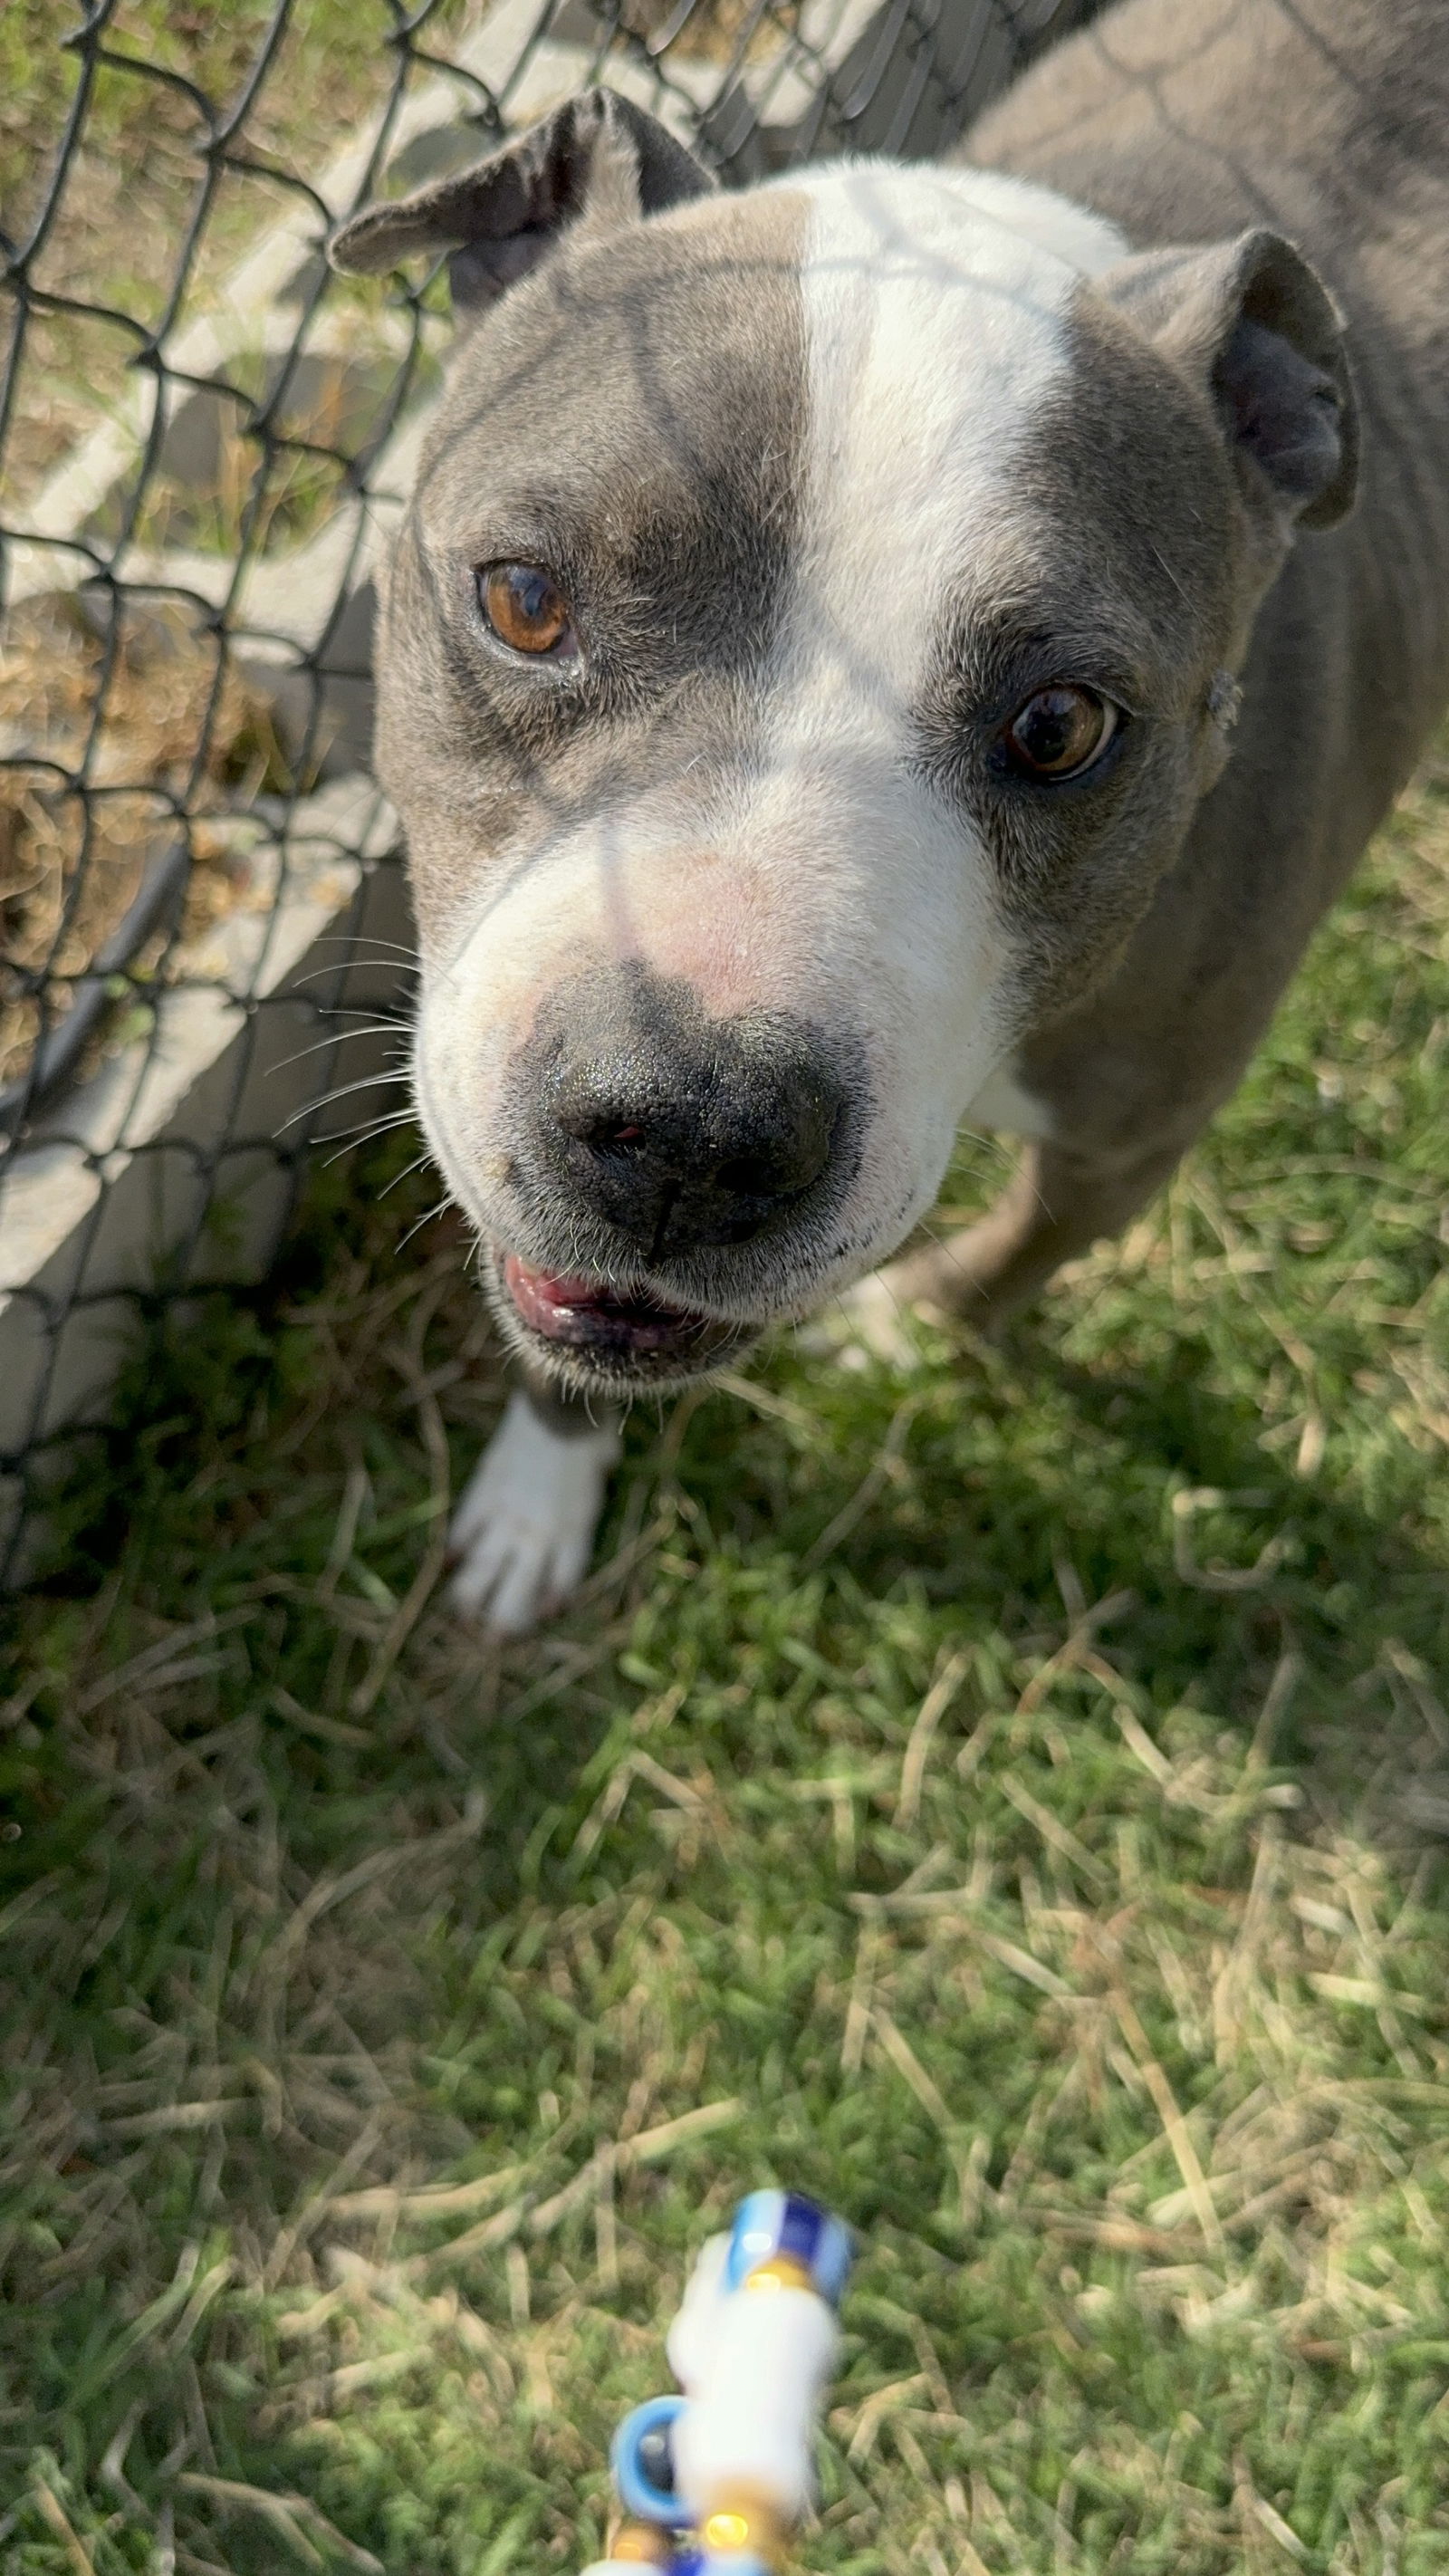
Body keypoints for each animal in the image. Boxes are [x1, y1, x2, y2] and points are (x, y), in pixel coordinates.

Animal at [331, 0, 1449, 1628]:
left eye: (1061, 726)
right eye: (524, 598)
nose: (691, 1129)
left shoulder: (1134, 1141)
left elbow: (1017, 1253)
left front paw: (909, 1329)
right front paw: (539, 1494)